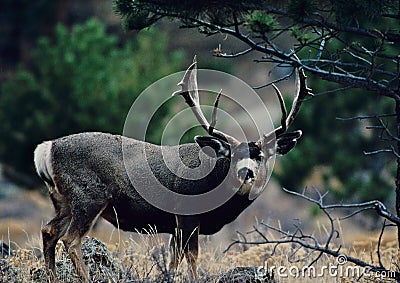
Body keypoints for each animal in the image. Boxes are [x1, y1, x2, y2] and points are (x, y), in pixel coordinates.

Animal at [33, 59, 310, 282]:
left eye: (260, 156)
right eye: (231, 156)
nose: (246, 173)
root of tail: (46, 149)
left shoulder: (175, 225)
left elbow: (173, 260)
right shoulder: (186, 214)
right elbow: (192, 257)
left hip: (63, 200)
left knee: (49, 231)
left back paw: (52, 277)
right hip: (89, 196)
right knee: (71, 240)